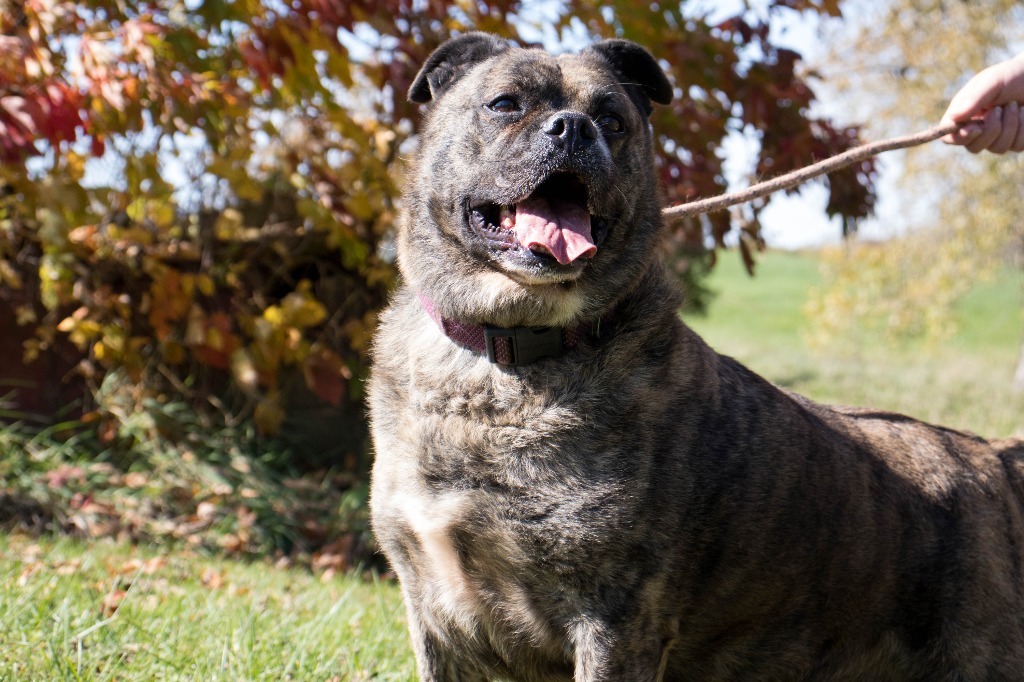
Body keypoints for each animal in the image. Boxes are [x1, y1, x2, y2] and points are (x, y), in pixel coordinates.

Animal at [368, 33, 1024, 679]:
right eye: (505, 104)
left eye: (613, 119)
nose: (574, 128)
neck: (508, 353)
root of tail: (994, 459)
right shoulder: (436, 616)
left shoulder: (615, 622)